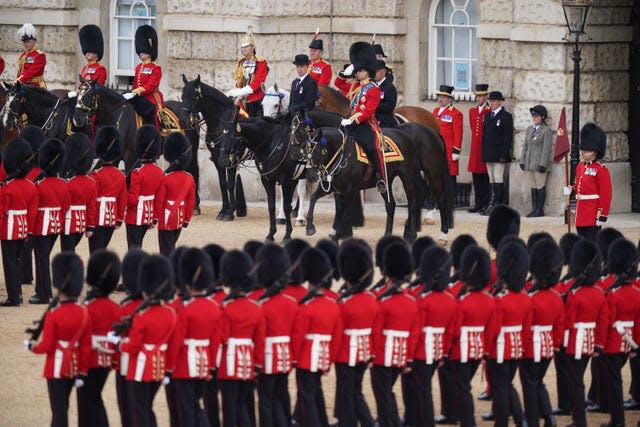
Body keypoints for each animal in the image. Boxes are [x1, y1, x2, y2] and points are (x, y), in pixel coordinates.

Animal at [72, 77, 202, 214]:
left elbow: (128, 179)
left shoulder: (130, 156)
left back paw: (195, 206)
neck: (117, 117)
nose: (77, 118)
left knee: (194, 171)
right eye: (78, 93)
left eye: (90, 95)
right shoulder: (113, 156)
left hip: (190, 150)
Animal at [182, 75, 250, 221]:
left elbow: (230, 184)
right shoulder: (217, 158)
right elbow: (223, 183)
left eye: (194, 97)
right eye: (182, 96)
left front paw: (230, 212)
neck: (221, 121)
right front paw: (223, 210)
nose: (184, 121)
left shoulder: (231, 158)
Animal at [304, 109, 456, 244]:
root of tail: (434, 132)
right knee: (392, 204)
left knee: (423, 200)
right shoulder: (332, 187)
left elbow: (344, 211)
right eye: (307, 148)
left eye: (316, 150)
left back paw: (432, 235)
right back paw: (390, 234)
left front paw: (338, 234)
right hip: (388, 179)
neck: (342, 152)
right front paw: (311, 227)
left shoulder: (349, 189)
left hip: (421, 175)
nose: (310, 176)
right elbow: (314, 199)